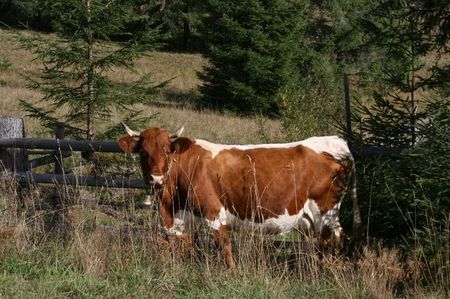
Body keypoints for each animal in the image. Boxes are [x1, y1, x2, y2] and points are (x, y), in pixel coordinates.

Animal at [118, 124, 360, 270]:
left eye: (167, 151)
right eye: (143, 152)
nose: (156, 178)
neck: (170, 204)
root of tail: (332, 142)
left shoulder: (213, 211)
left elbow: (224, 244)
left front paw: (232, 272)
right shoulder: (184, 219)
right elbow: (186, 246)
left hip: (325, 211)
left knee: (331, 239)